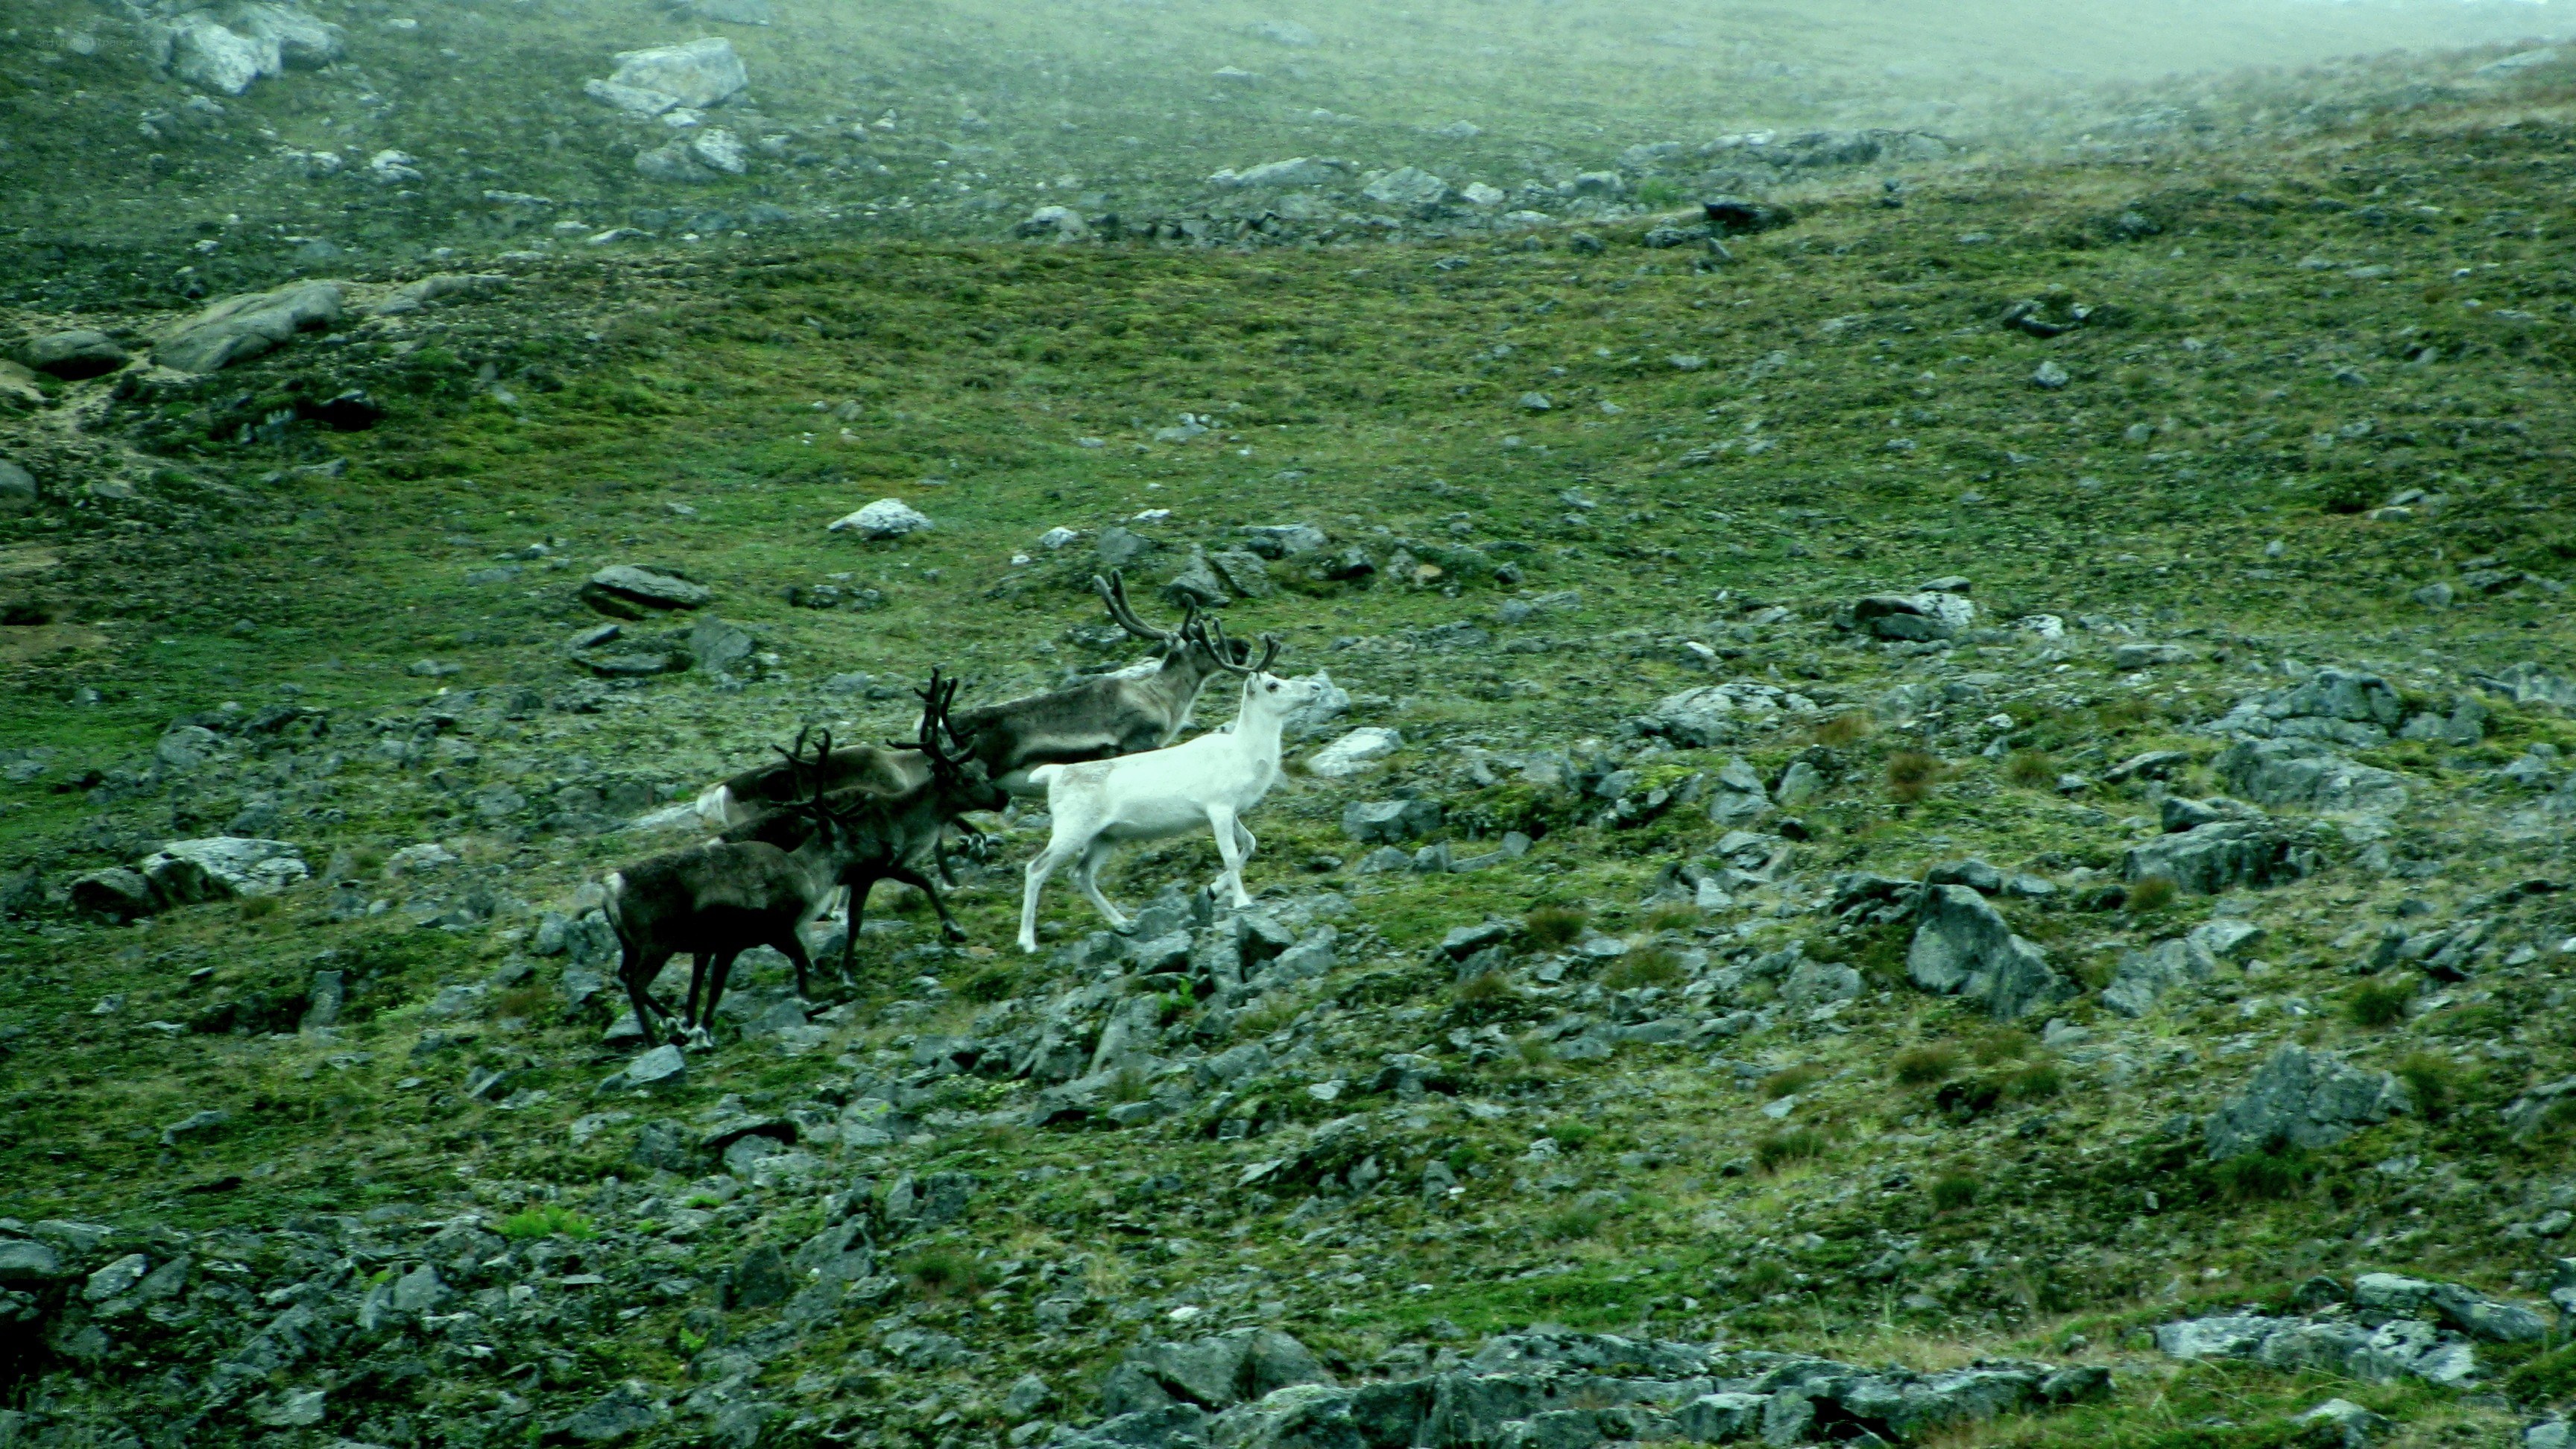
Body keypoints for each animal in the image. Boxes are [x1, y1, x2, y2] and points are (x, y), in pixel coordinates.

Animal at [1017, 626, 1319, 952]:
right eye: (1273, 685)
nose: (1315, 687)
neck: (1245, 755)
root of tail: (1053, 774)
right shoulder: (1218, 807)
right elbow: (1229, 854)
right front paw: (1241, 901)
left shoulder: (1232, 810)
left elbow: (1250, 843)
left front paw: (1213, 888)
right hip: (1072, 828)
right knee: (1036, 868)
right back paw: (1027, 942)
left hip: (1106, 835)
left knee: (1081, 873)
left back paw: (1122, 922)